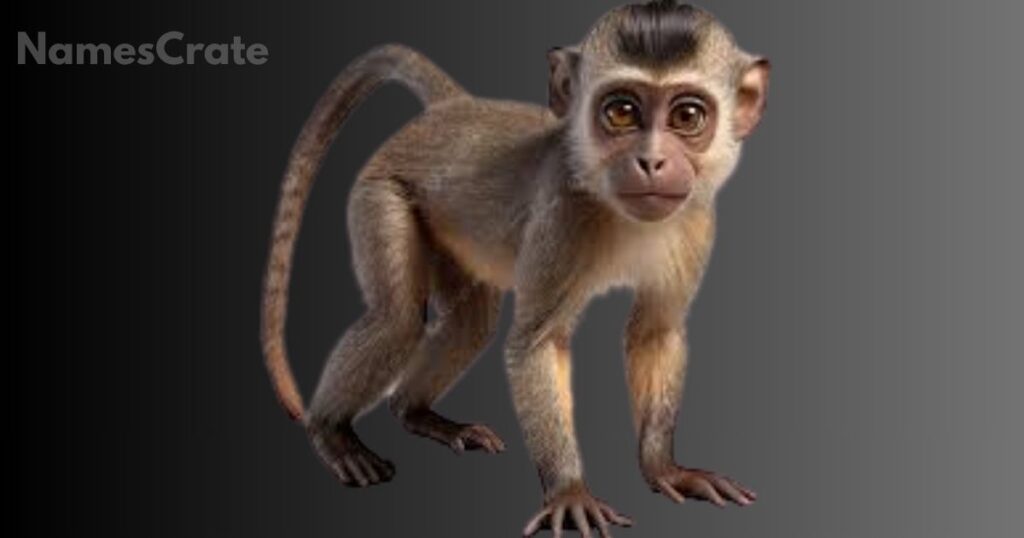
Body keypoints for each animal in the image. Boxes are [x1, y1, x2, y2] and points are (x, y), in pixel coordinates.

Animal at [261, 1, 769, 535]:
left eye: (687, 115)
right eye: (621, 111)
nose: (651, 161)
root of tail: (452, 110)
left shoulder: (697, 220)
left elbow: (655, 333)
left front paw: (666, 468)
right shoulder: (562, 213)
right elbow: (536, 344)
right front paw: (569, 491)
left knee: (469, 322)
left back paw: (417, 413)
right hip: (380, 189)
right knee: (397, 320)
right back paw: (330, 431)